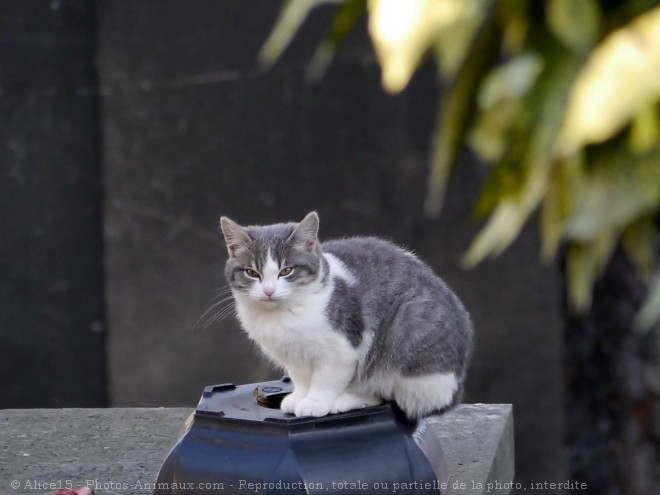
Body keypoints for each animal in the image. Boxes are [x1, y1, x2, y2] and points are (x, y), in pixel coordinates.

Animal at [219, 211, 472, 420]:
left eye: (286, 271)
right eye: (252, 273)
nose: (269, 290)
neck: (282, 315)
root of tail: (456, 389)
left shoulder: (341, 351)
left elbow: (326, 380)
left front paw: (314, 403)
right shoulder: (294, 356)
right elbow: (301, 378)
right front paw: (299, 397)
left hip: (404, 343)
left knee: (389, 394)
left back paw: (346, 400)